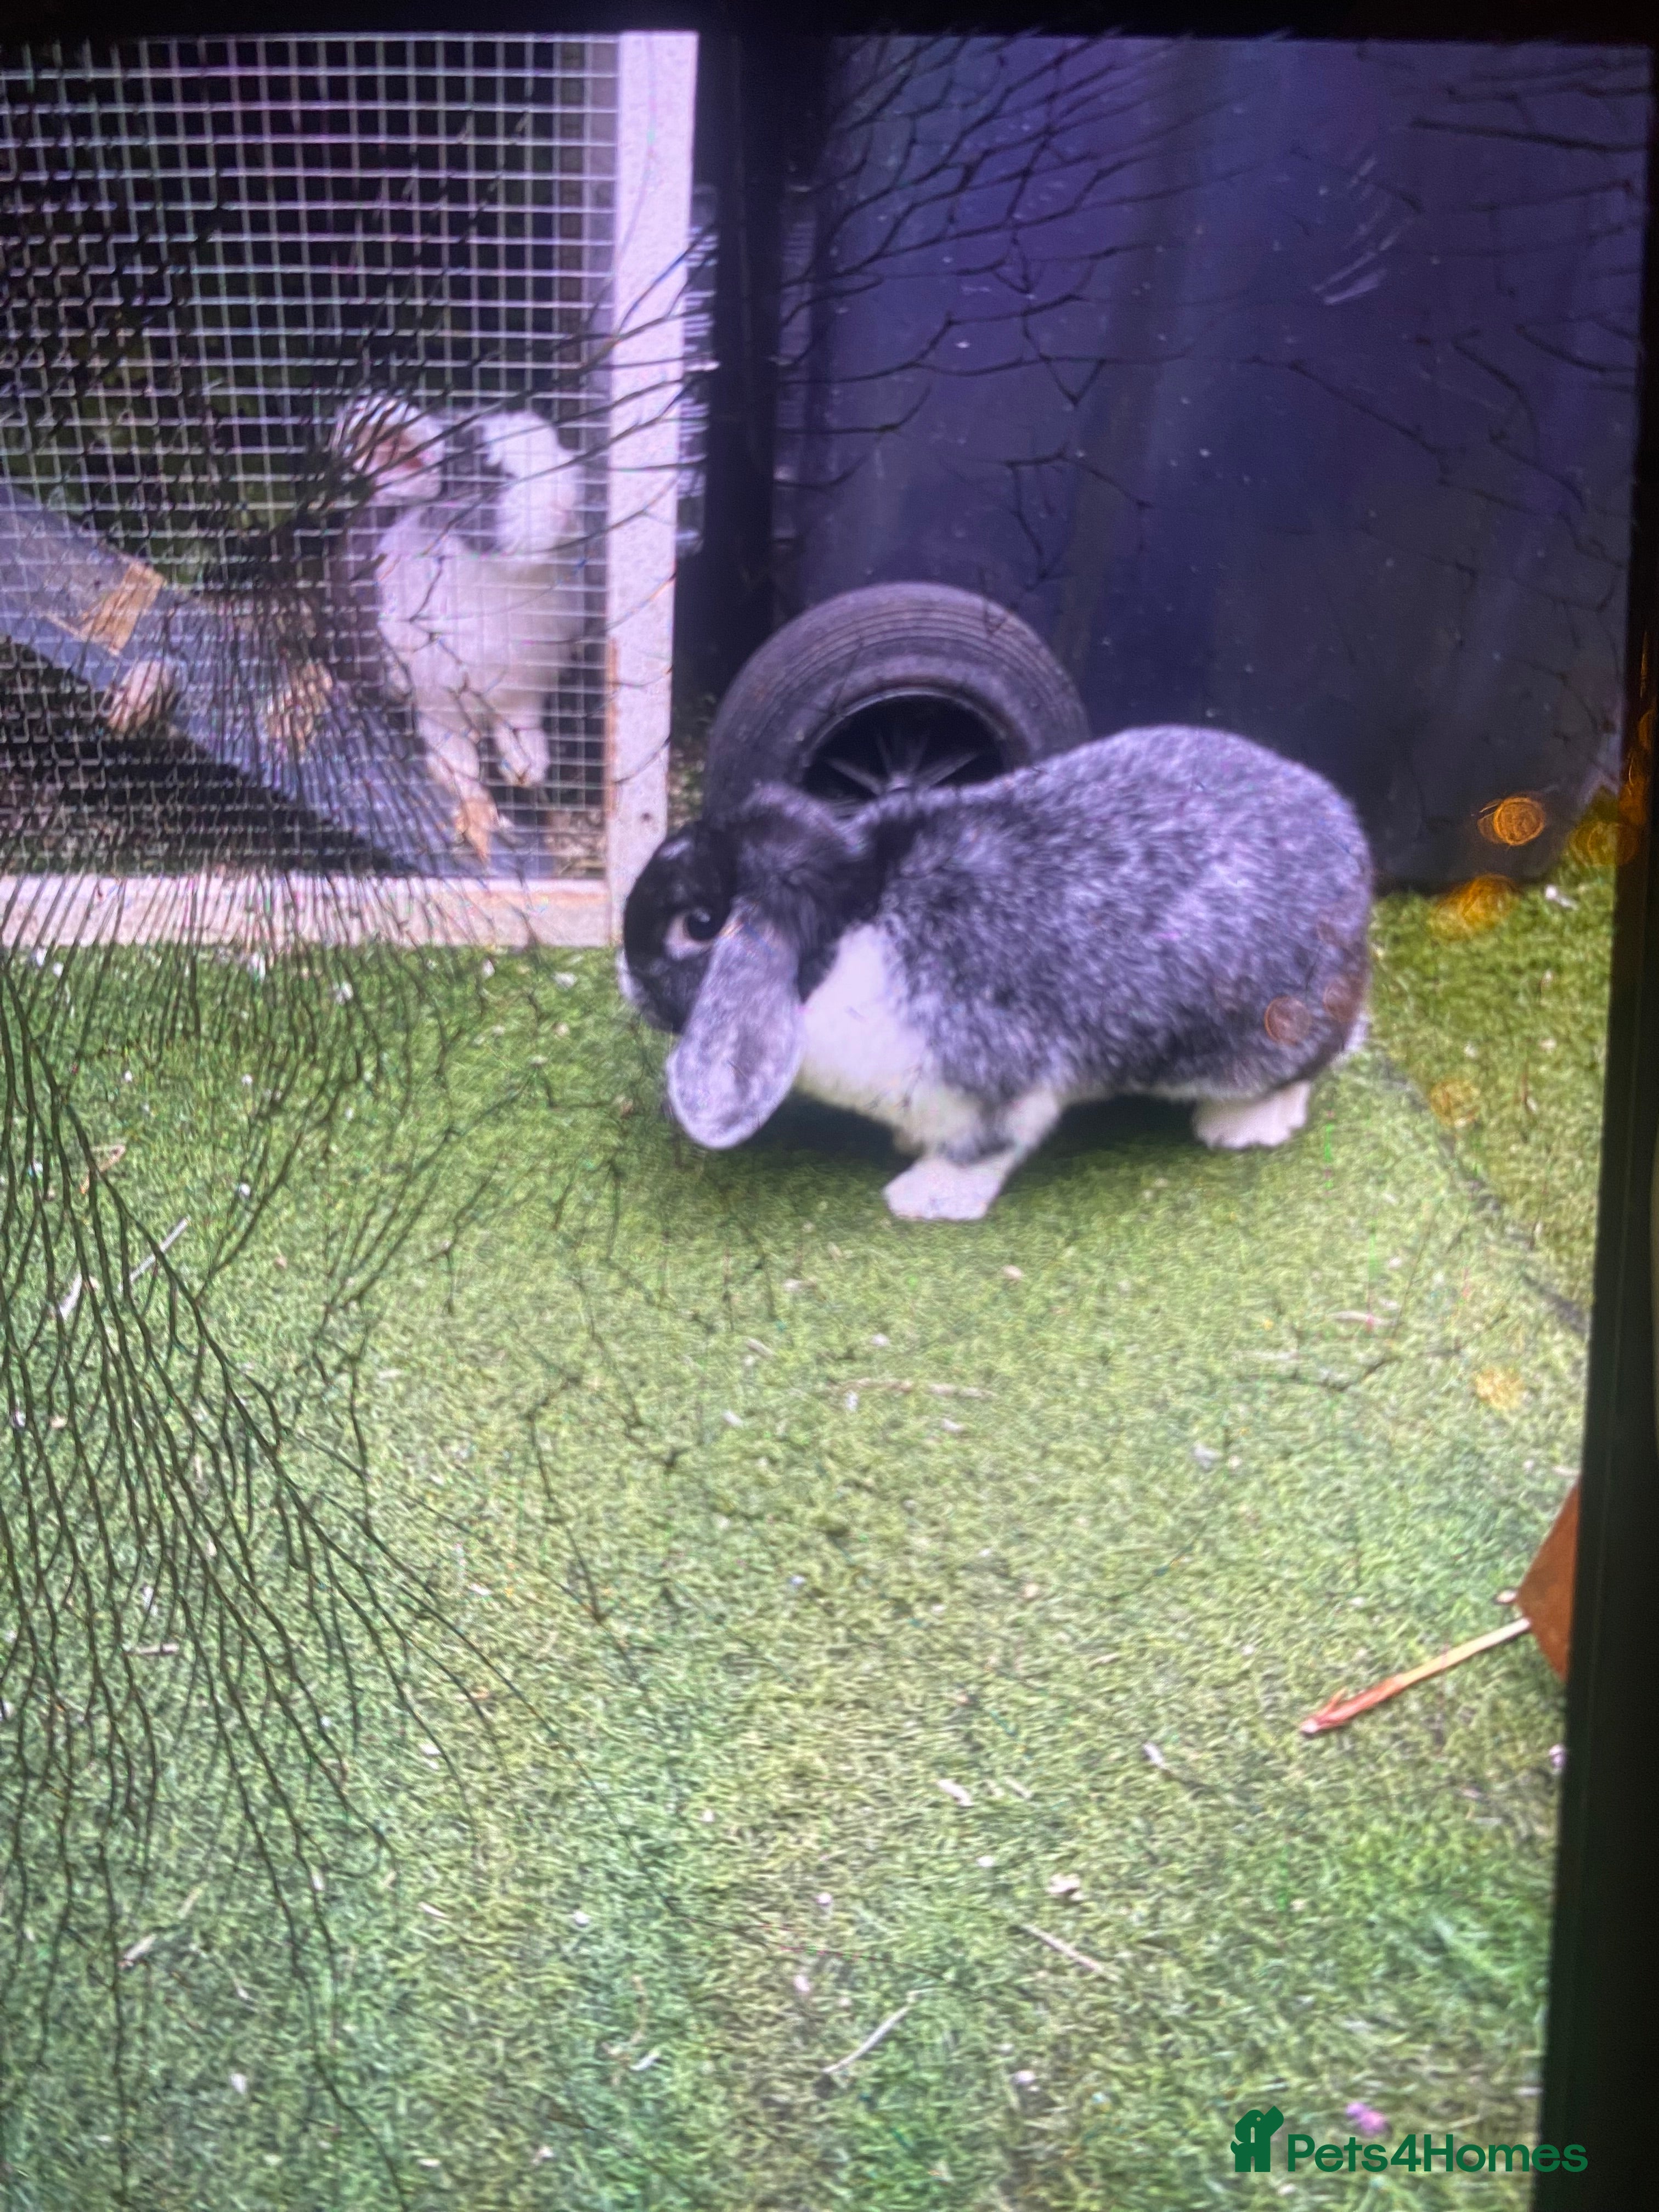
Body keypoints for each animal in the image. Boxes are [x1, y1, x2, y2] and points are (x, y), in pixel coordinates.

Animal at [327, 393, 585, 858]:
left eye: (554, 444)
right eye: (488, 476)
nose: (566, 504)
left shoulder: (524, 688)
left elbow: (521, 729)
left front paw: (528, 771)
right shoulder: (436, 699)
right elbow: (458, 758)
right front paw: (478, 810)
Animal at [618, 725, 1374, 1220]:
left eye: (700, 925)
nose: (626, 975)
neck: (854, 919)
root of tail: (1354, 852)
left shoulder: (999, 1086)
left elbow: (983, 1149)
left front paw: (919, 1198)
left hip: (1263, 1035)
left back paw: (1238, 1128)